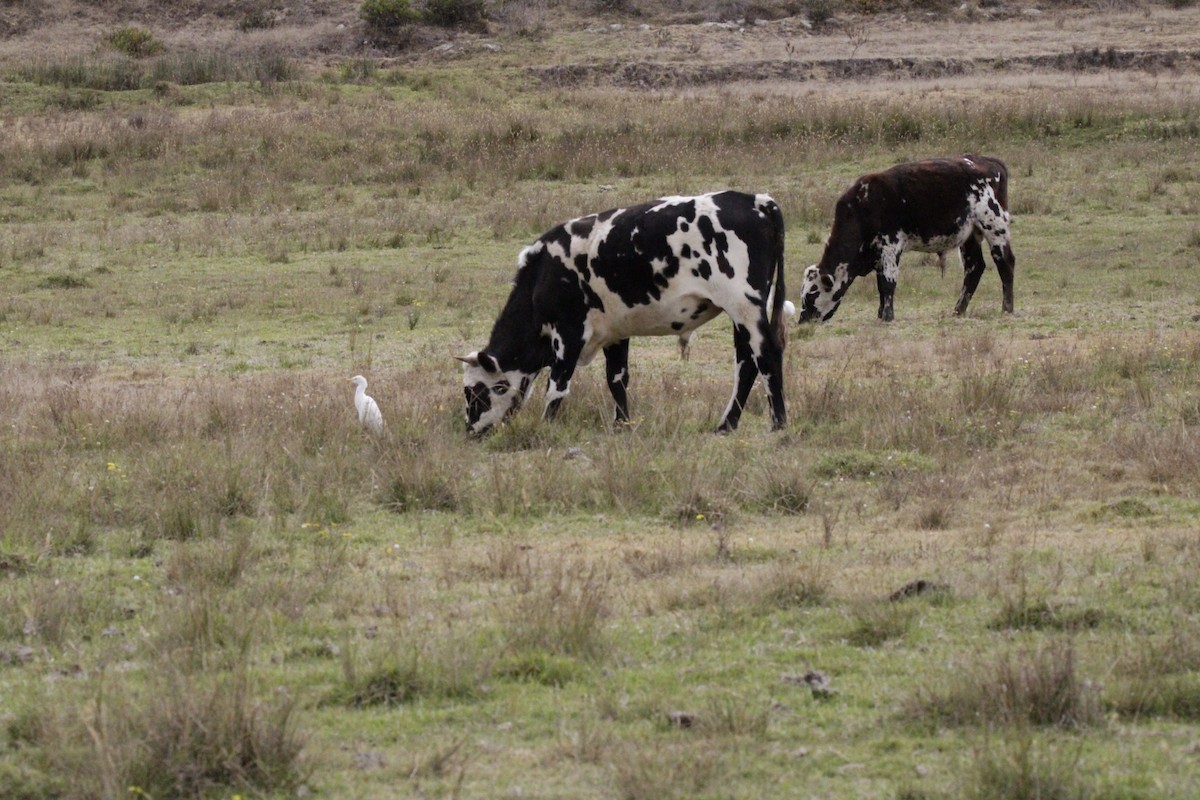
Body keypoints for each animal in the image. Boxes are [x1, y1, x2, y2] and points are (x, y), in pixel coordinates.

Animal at [459, 191, 788, 436]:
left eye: (476, 393)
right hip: (742, 313)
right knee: (746, 363)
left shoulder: (568, 334)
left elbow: (557, 386)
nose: (471, 430)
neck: (542, 274)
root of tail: (756, 200)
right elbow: (616, 379)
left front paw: (545, 426)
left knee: (767, 354)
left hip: (743, 305)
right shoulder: (615, 332)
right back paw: (727, 424)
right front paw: (622, 424)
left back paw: (778, 423)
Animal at [798, 155, 1016, 323]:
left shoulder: (890, 247)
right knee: (974, 268)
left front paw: (887, 317)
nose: (803, 321)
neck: (862, 207)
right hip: (969, 236)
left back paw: (1007, 308)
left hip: (994, 226)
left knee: (1005, 263)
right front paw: (881, 314)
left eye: (811, 295)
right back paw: (957, 310)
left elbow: (888, 283)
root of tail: (990, 161)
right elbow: (881, 286)